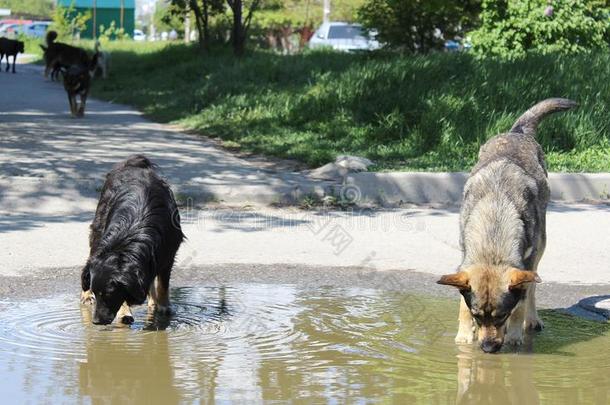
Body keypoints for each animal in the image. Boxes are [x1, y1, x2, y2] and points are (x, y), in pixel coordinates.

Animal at [81, 155, 185, 326]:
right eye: (97, 293)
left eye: (108, 295)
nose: (96, 322)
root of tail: (134, 163)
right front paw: (124, 312)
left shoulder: (168, 252)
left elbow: (163, 284)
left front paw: (164, 307)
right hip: (99, 222)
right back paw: (85, 295)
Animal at [436, 97, 576, 350]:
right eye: (478, 315)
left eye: (502, 316)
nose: (488, 348)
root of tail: (516, 132)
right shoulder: (465, 264)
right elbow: (462, 305)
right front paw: (465, 336)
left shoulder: (523, 267)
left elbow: (520, 305)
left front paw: (514, 336)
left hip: (539, 250)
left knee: (532, 290)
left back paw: (532, 321)